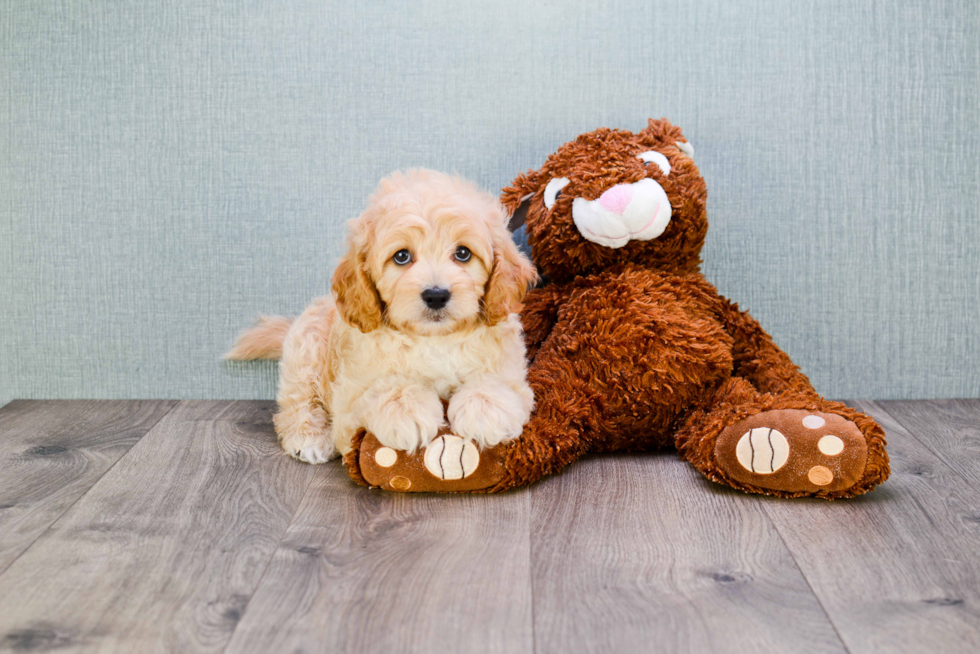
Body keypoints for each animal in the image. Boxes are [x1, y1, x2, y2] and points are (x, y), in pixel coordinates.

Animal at [226, 170, 536, 466]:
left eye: (462, 253)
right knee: (296, 403)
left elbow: (496, 384)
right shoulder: (348, 403)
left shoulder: (512, 373)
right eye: (401, 257)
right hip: (306, 352)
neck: (434, 339)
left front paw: (485, 409)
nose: (436, 295)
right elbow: (382, 391)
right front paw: (406, 410)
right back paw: (309, 439)